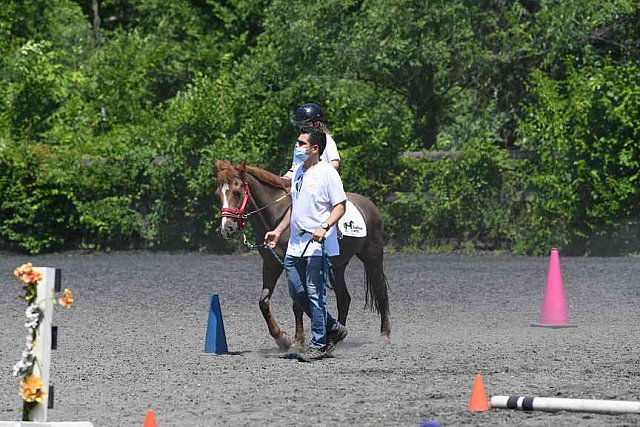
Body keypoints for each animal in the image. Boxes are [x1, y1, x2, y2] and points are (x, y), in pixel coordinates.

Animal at [215, 160, 390, 352]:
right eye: (218, 194)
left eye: (237, 192)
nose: (227, 228)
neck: (277, 217)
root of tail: (370, 205)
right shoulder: (271, 264)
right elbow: (264, 302)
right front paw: (281, 338)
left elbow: (297, 304)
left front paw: (297, 341)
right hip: (337, 267)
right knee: (344, 299)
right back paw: (337, 337)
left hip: (373, 257)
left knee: (381, 292)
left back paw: (384, 335)